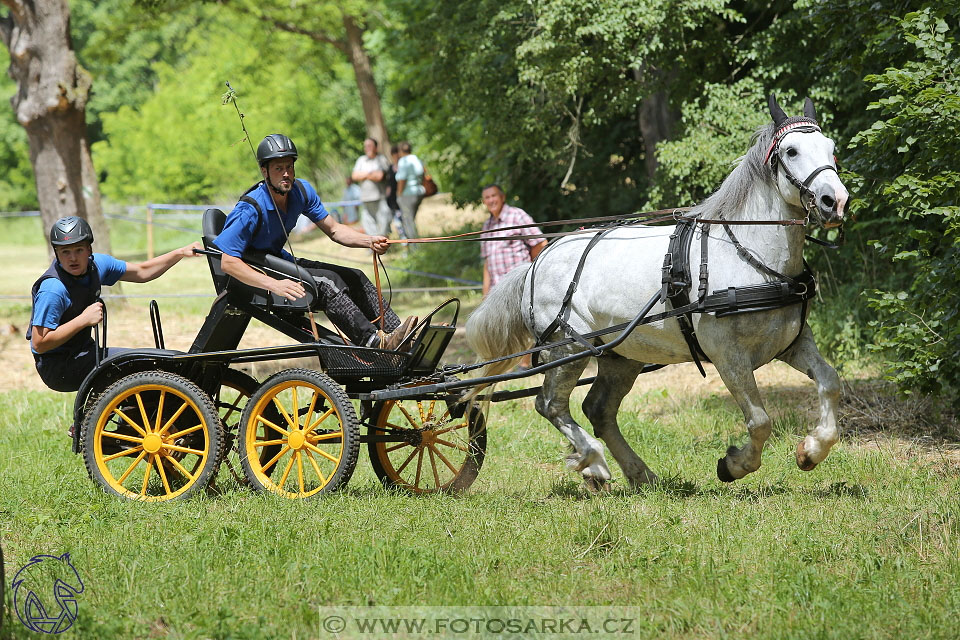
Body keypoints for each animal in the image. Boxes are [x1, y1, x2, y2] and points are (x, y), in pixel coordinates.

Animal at [464, 95, 848, 488]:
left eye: (831, 148)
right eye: (791, 150)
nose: (835, 201)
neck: (747, 255)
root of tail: (537, 262)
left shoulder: (791, 342)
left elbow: (830, 382)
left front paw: (812, 450)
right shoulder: (728, 355)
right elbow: (760, 421)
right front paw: (734, 465)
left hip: (620, 355)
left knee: (598, 409)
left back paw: (639, 473)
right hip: (569, 347)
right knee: (551, 405)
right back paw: (594, 462)